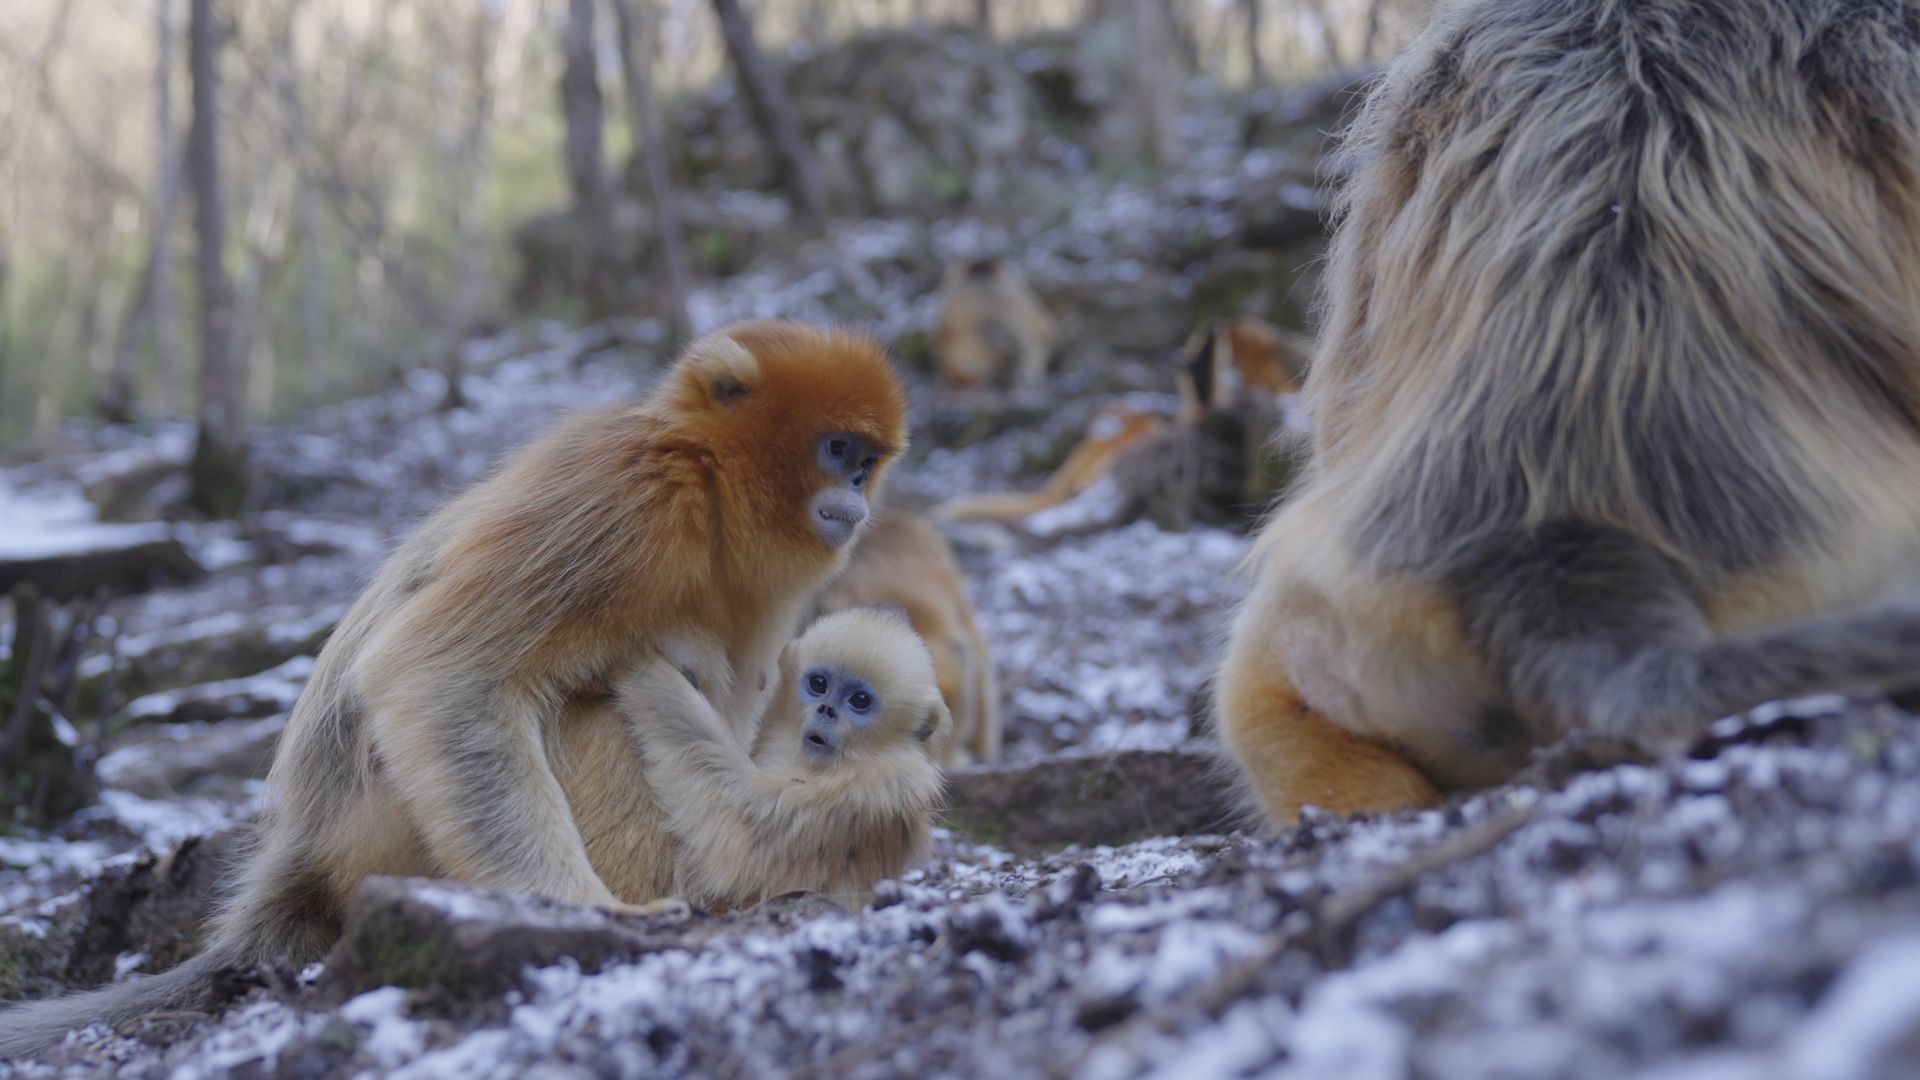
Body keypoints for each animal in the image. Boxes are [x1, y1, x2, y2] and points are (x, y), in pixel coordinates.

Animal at [0, 320, 908, 1057]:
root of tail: (303, 850)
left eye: (867, 462)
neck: (711, 489)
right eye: (837, 451)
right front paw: (590, 912)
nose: (856, 494)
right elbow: (439, 676)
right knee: (600, 712)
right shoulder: (628, 495)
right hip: (389, 837)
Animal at [561, 606, 950, 911]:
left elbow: (738, 837)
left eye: (859, 701)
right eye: (819, 684)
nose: (825, 710)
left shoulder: (877, 786)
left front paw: (637, 663)